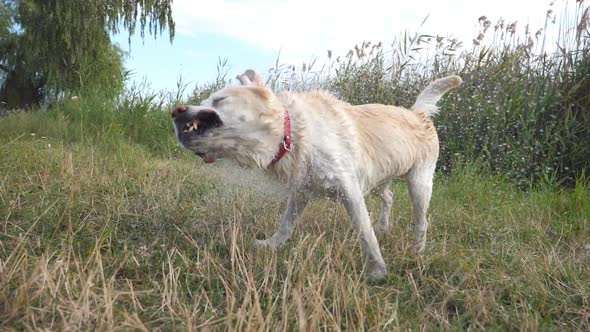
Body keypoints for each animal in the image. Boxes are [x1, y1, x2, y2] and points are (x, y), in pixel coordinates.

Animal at [171, 70, 462, 278]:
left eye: (219, 99)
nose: (175, 111)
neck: (291, 133)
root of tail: (418, 112)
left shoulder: (350, 190)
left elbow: (365, 234)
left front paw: (378, 272)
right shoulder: (301, 192)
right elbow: (286, 225)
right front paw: (272, 245)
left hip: (419, 183)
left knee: (421, 221)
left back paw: (418, 249)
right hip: (378, 179)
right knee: (389, 196)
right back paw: (384, 226)